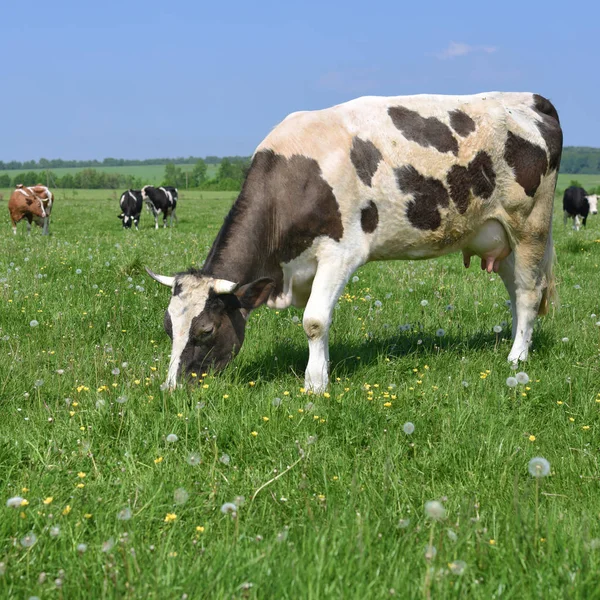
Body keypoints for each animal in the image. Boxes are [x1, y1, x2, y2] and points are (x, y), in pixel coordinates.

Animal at [146, 91, 564, 394]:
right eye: (168, 328)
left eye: (206, 331)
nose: (171, 389)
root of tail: (531, 98)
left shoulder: (341, 252)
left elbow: (314, 321)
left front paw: (315, 384)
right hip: (498, 235)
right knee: (516, 292)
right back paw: (516, 344)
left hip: (530, 225)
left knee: (529, 292)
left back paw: (516, 359)